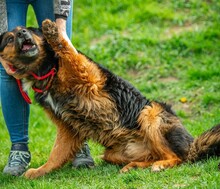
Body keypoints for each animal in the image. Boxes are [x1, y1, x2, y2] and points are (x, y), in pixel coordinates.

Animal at [0, 19, 220, 179]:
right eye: (10, 39)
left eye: (29, 30)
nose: (22, 34)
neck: (46, 71)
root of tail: (191, 146)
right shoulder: (67, 128)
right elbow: (56, 155)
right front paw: (40, 171)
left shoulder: (87, 77)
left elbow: (68, 51)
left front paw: (52, 31)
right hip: (114, 153)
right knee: (161, 156)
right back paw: (134, 166)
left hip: (150, 113)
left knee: (176, 157)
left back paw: (160, 165)